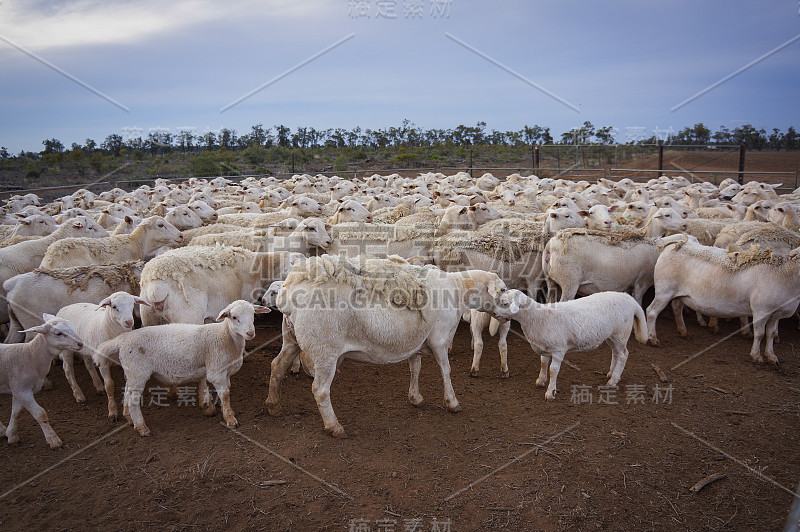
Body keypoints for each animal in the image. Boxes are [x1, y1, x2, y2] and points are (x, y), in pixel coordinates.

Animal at [0, 314, 83, 446]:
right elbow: (40, 414)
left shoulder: (17, 391)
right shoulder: (22, 391)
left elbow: (16, 413)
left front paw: (11, 435)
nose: (80, 344)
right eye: (58, 333)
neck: (29, 356)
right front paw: (53, 440)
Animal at [268, 256, 506, 438]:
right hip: (325, 350)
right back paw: (335, 427)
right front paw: (452, 402)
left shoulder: (416, 339)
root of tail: (290, 291)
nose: (507, 315)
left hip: (291, 339)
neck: (457, 290)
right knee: (319, 390)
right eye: (502, 289)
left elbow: (415, 368)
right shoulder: (439, 339)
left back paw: (274, 405)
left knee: (277, 366)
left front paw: (416, 398)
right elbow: (446, 371)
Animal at [488, 288, 648, 402]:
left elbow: (553, 370)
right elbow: (543, 363)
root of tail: (631, 300)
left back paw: (613, 379)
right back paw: (611, 373)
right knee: (616, 353)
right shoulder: (546, 348)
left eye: (504, 303)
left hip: (620, 334)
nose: (493, 312)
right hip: (611, 335)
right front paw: (541, 381)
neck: (536, 317)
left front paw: (550, 392)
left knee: (623, 355)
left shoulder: (558, 349)